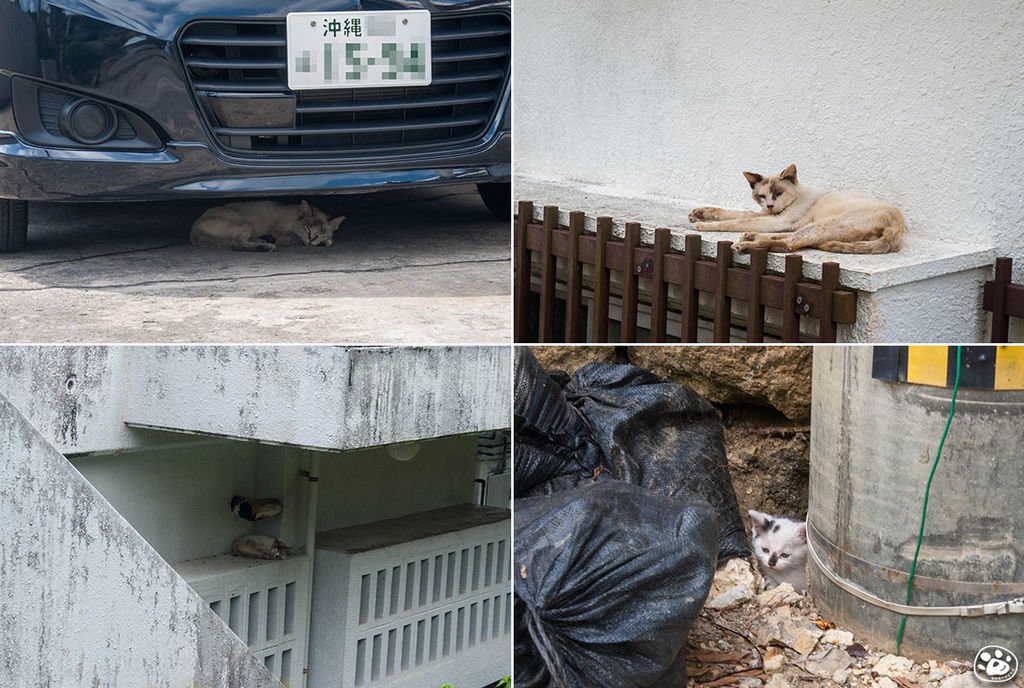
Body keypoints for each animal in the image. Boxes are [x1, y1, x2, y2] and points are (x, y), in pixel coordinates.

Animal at [688, 163, 905, 254]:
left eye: (778, 193)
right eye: (762, 196)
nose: (770, 205)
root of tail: (898, 223)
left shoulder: (778, 220)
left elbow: (735, 221)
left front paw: (702, 226)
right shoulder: (769, 216)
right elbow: (734, 214)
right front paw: (699, 214)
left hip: (825, 224)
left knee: (790, 244)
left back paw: (745, 245)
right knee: (790, 239)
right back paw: (751, 237)